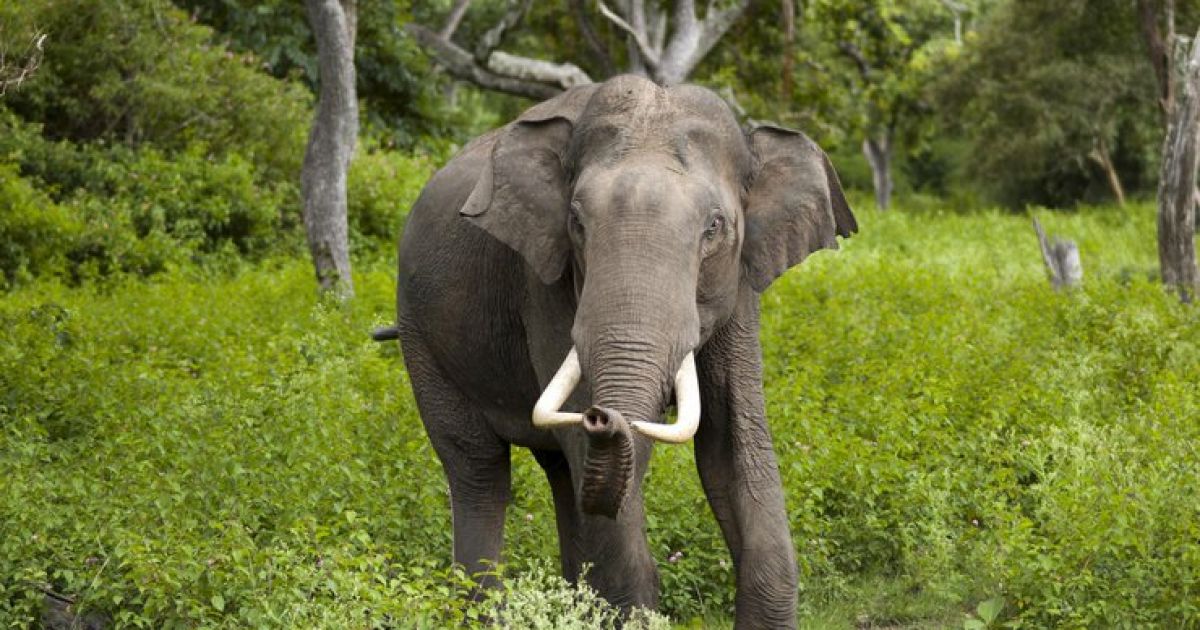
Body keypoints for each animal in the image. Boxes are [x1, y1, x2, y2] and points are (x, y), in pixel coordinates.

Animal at [377, 74, 856, 627]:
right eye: (576, 222)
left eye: (714, 227)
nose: (602, 416)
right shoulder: (545, 280)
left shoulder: (740, 286)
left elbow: (733, 444)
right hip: (421, 336)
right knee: (479, 470)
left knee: (561, 474)